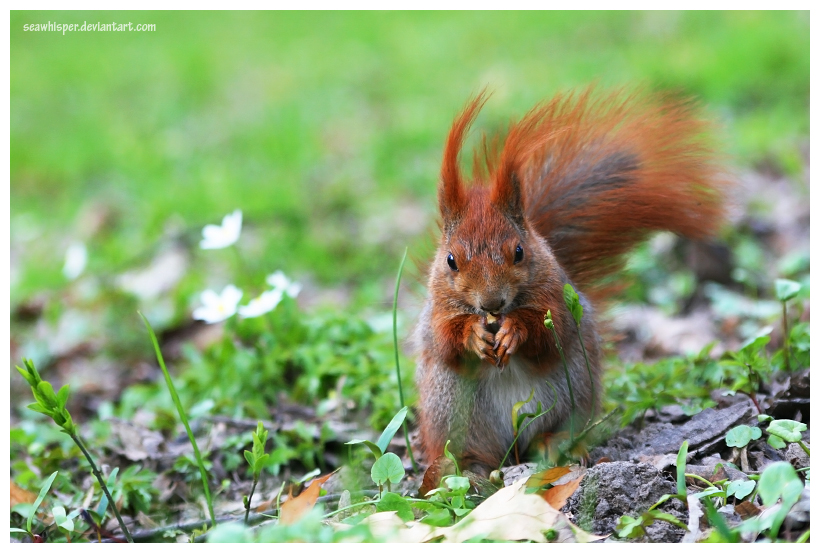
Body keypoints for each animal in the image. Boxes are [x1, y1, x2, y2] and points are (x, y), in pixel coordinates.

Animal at [416, 87, 732, 474]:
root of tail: (511, 450)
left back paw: (554, 445)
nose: (492, 303)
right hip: (450, 409)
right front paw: (473, 334)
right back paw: (464, 466)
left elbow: (553, 332)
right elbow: (443, 338)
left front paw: (514, 330)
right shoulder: (436, 311)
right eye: (451, 261)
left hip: (574, 391)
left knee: (555, 430)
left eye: (519, 251)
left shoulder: (557, 297)